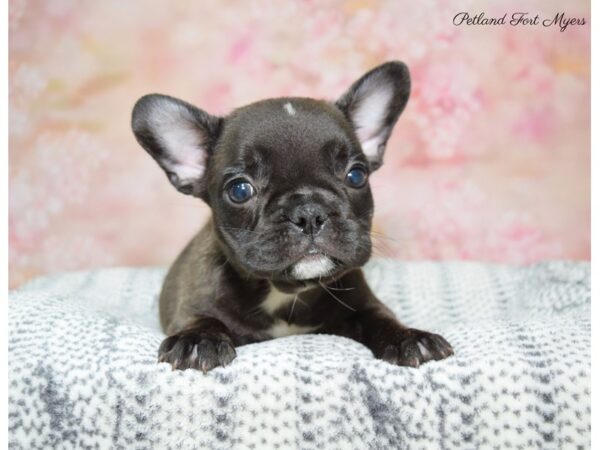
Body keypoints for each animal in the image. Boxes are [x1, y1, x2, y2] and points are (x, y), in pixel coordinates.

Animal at [130, 62, 450, 372]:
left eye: (356, 175)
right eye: (240, 190)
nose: (309, 213)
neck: (284, 293)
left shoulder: (364, 304)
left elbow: (381, 316)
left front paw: (409, 337)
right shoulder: (192, 304)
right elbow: (200, 318)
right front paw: (197, 340)